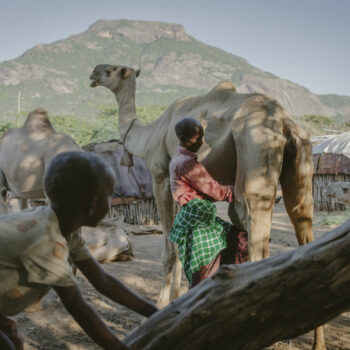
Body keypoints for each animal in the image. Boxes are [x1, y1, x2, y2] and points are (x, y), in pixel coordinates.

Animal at [89, 65, 326, 348]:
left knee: (254, 227)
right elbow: (181, 245)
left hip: (255, 149)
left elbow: (169, 248)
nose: (93, 73)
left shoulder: (160, 175)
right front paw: (178, 301)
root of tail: (284, 121)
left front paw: (160, 305)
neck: (149, 135)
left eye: (112, 70)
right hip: (300, 159)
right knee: (302, 221)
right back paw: (316, 342)